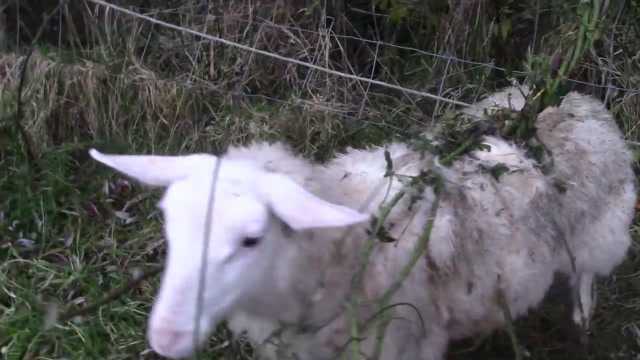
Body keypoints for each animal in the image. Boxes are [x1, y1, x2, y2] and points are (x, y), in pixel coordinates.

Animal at [89, 88, 636, 358]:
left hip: (599, 231)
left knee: (586, 278)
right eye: (170, 226)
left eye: (251, 239)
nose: (165, 337)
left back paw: (582, 324)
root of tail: (567, 101)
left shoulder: (403, 345)